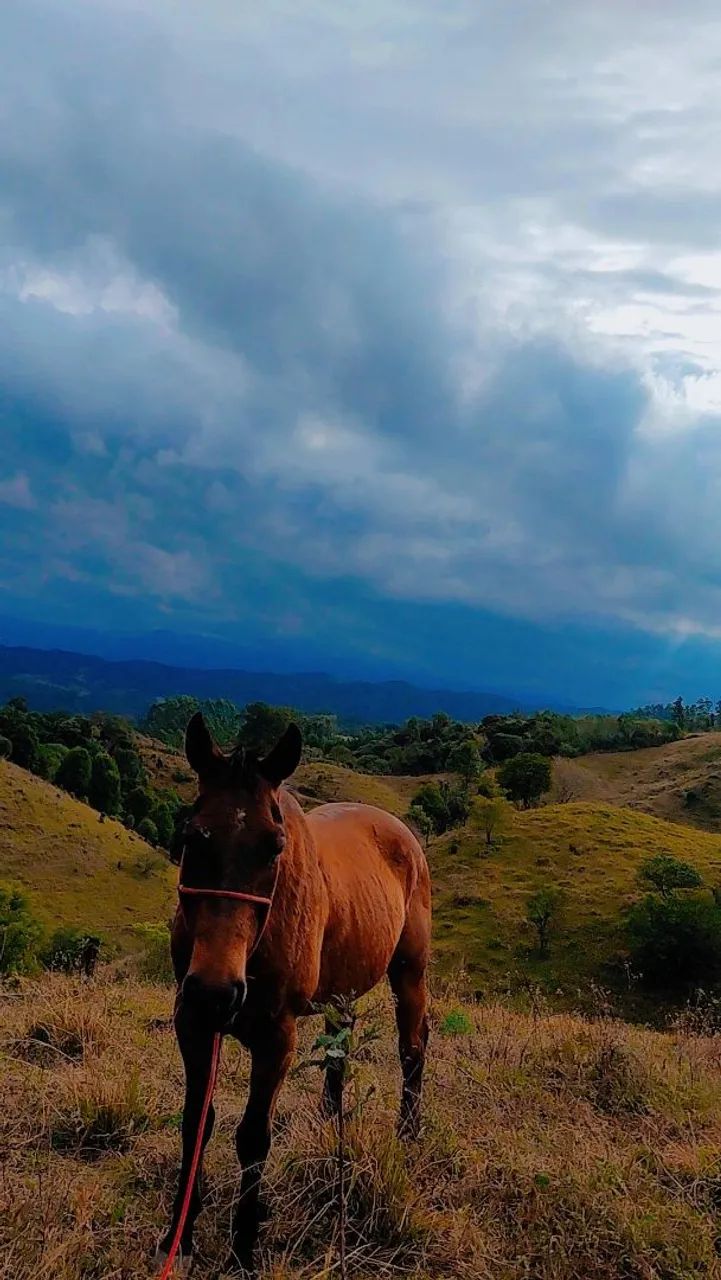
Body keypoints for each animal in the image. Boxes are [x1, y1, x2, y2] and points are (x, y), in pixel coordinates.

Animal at [156, 713, 432, 1275]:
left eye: (274, 847)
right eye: (192, 836)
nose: (217, 989)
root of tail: (402, 833)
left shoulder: (275, 1038)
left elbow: (252, 1137)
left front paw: (242, 1250)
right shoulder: (193, 1021)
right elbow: (196, 1122)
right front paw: (181, 1234)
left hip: (409, 972)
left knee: (412, 1048)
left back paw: (408, 1132)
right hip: (342, 989)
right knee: (340, 1046)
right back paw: (330, 1120)